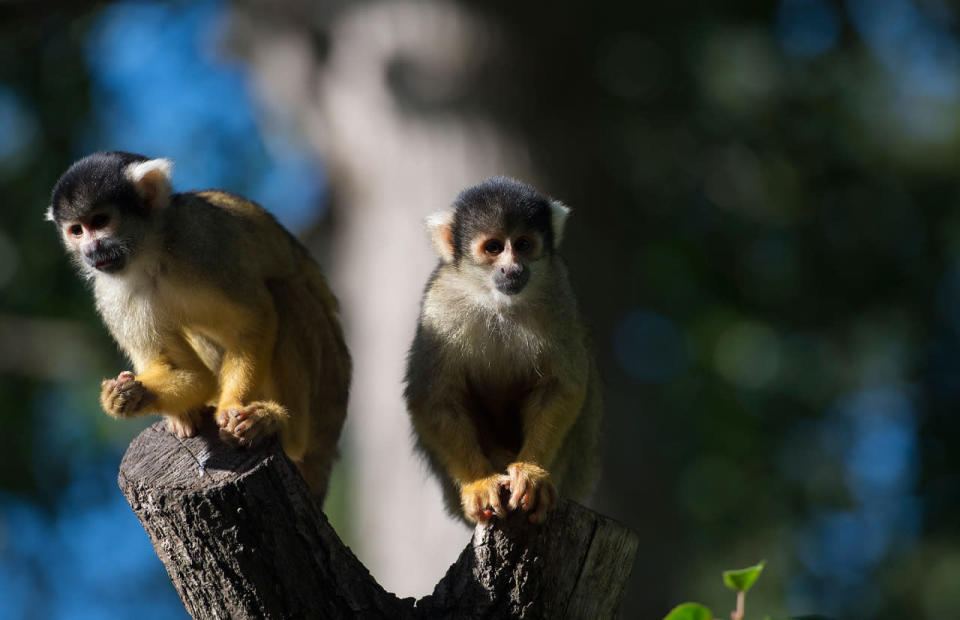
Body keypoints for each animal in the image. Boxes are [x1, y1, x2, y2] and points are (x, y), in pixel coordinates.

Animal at [46, 151, 352, 498]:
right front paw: (127, 396)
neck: (148, 254)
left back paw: (282, 426)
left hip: (329, 388)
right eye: (76, 230)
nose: (90, 249)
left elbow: (254, 319)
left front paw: (232, 406)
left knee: (284, 293)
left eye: (99, 221)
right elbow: (189, 372)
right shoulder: (111, 293)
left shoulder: (202, 246)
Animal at [404, 177, 600, 524]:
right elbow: (434, 399)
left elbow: (562, 386)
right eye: (493, 248)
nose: (512, 269)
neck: (497, 300)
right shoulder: (439, 302)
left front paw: (532, 473)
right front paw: (480, 482)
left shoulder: (558, 291)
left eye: (522, 244)